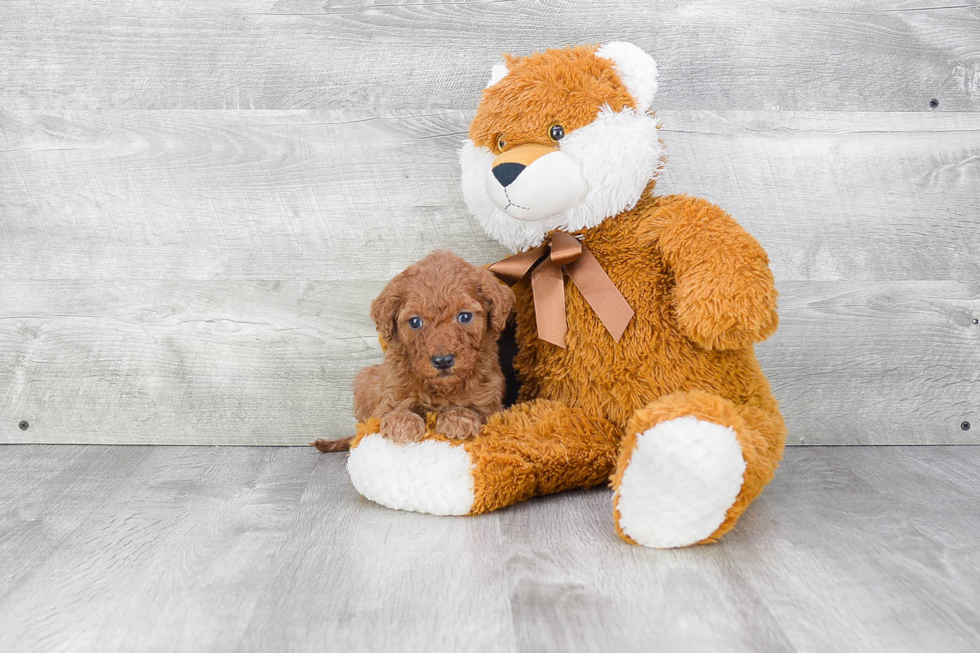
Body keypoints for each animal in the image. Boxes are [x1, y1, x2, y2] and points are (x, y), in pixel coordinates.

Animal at [312, 251, 512, 454]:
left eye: (465, 316)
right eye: (415, 322)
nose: (443, 361)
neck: (441, 388)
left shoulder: (492, 405)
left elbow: (478, 411)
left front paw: (458, 419)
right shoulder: (386, 401)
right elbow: (391, 412)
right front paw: (402, 423)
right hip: (366, 379)